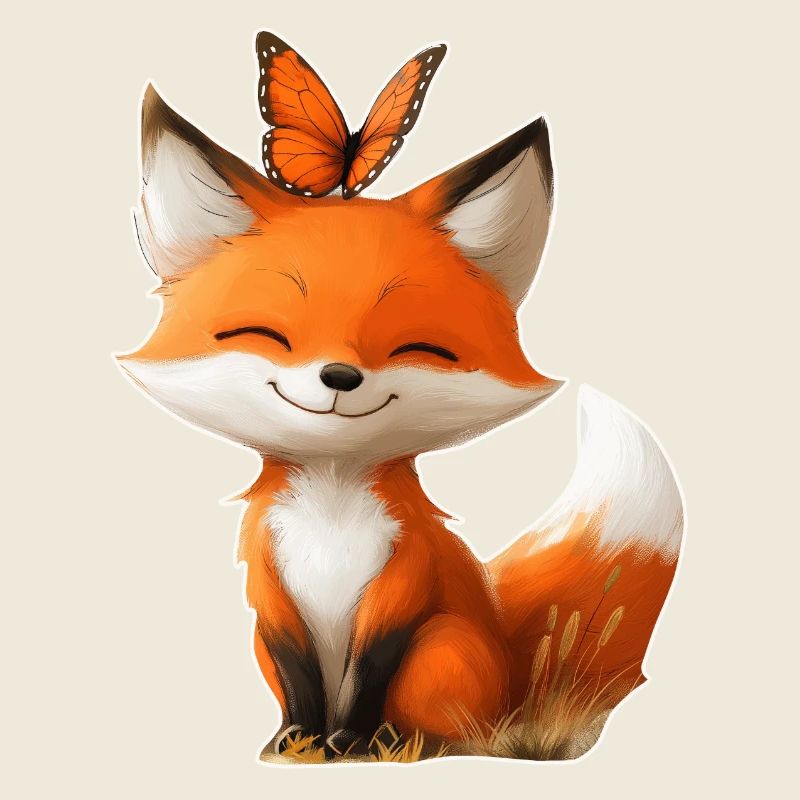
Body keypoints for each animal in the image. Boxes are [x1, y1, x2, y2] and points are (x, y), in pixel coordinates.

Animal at [119, 83, 684, 761]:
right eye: (268, 335)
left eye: (416, 347)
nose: (339, 376)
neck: (331, 510)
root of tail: (510, 672)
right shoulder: (269, 588)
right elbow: (295, 672)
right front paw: (297, 739)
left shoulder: (406, 573)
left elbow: (371, 668)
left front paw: (350, 740)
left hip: (443, 644)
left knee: (460, 728)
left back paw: (402, 739)